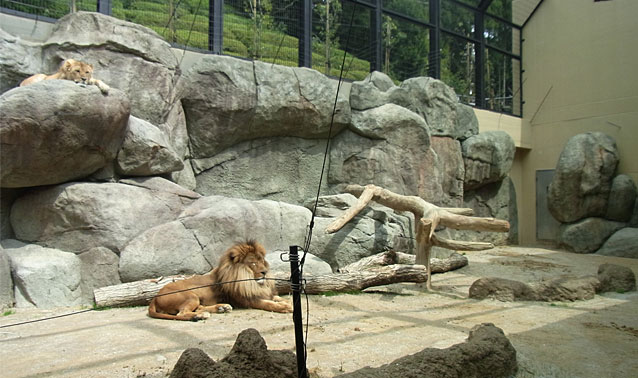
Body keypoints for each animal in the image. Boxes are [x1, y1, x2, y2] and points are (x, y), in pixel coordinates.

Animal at [149, 241, 294, 320]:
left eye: (262, 260)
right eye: (252, 263)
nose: (265, 272)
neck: (250, 282)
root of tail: (154, 298)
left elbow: (277, 298)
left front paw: (287, 302)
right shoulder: (248, 300)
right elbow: (268, 304)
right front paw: (285, 307)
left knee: (198, 308)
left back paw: (221, 308)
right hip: (191, 295)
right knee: (182, 313)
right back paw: (201, 316)